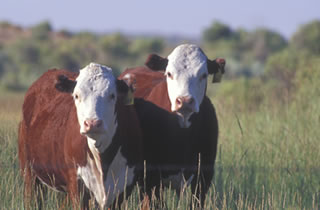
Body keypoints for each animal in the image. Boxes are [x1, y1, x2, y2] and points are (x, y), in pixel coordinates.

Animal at [18, 63, 142, 209]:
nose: (92, 123)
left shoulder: (124, 186)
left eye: (112, 95)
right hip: (29, 173)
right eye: (76, 95)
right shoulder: (77, 185)